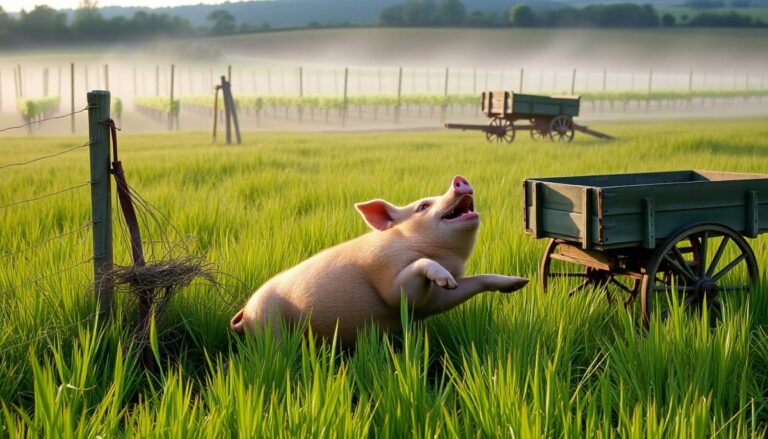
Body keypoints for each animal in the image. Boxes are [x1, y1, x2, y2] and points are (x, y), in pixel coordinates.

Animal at [230, 176, 528, 345]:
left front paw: (519, 283)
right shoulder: (389, 278)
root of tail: (245, 312)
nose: (459, 179)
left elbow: (471, 282)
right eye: (422, 206)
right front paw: (443, 277)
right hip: (269, 323)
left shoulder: (434, 302)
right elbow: (409, 279)